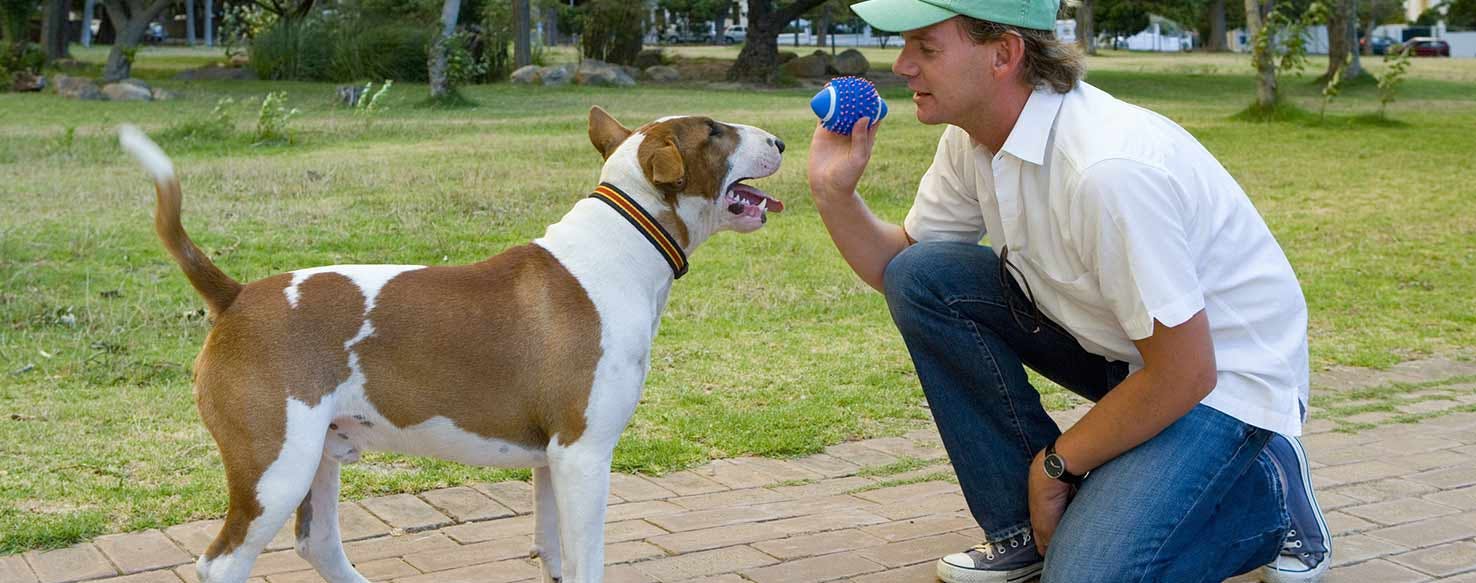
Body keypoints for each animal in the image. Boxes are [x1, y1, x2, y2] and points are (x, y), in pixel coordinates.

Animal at [118, 108, 785, 583]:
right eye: (715, 131)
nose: (780, 140)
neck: (622, 243)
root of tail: (235, 296)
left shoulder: (553, 460)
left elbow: (556, 555)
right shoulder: (584, 453)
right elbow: (587, 562)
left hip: (317, 455)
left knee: (320, 544)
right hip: (274, 466)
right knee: (223, 563)